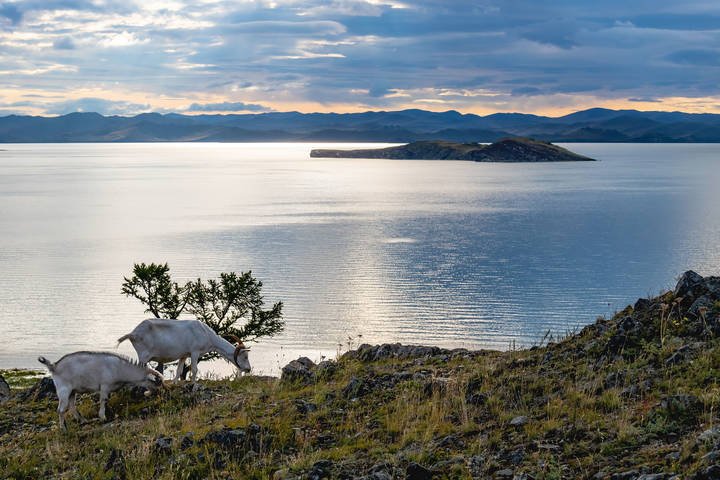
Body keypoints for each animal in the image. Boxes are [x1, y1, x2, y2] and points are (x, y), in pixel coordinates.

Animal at [117, 319, 251, 385]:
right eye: (245, 356)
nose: (248, 369)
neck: (207, 335)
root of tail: (133, 334)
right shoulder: (194, 352)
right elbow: (195, 369)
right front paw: (194, 385)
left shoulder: (184, 355)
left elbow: (179, 370)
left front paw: (175, 383)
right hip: (143, 355)